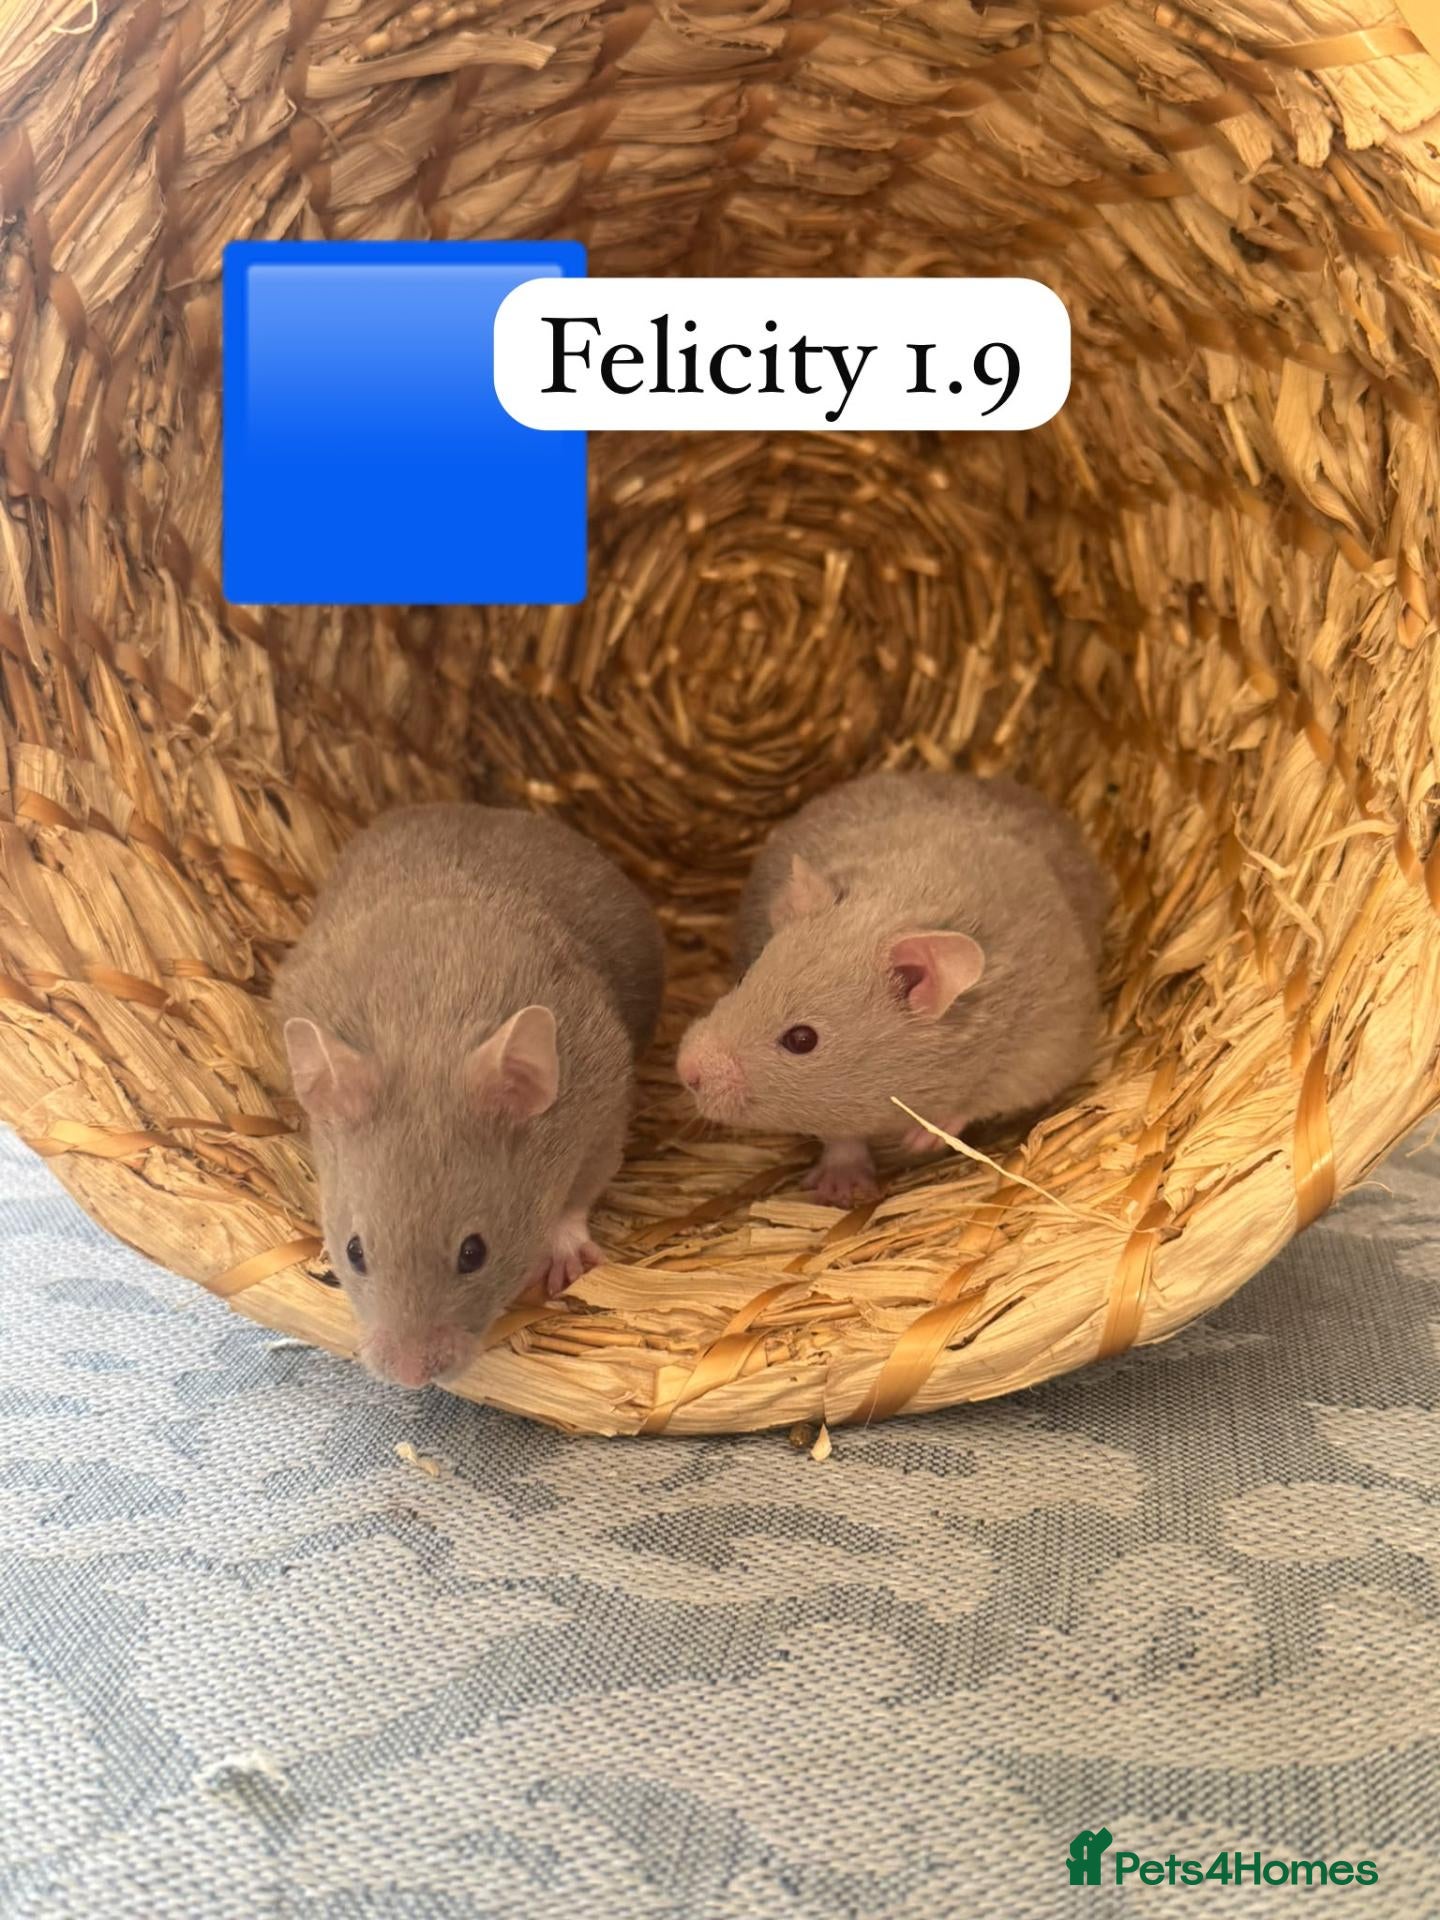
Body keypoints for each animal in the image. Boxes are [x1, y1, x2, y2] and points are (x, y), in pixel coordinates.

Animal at [274, 803, 664, 1388]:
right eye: (355, 1252)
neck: (427, 1033)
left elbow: (578, 1199)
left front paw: (565, 1266)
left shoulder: (603, 1112)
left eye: (474, 1253)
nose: (411, 1378)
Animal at [676, 771, 1105, 1207]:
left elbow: (976, 1102)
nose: (685, 1070)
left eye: (801, 1039)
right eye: (744, 979)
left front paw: (921, 1140)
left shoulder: (1038, 1053)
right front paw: (840, 1189)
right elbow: (841, 1134)